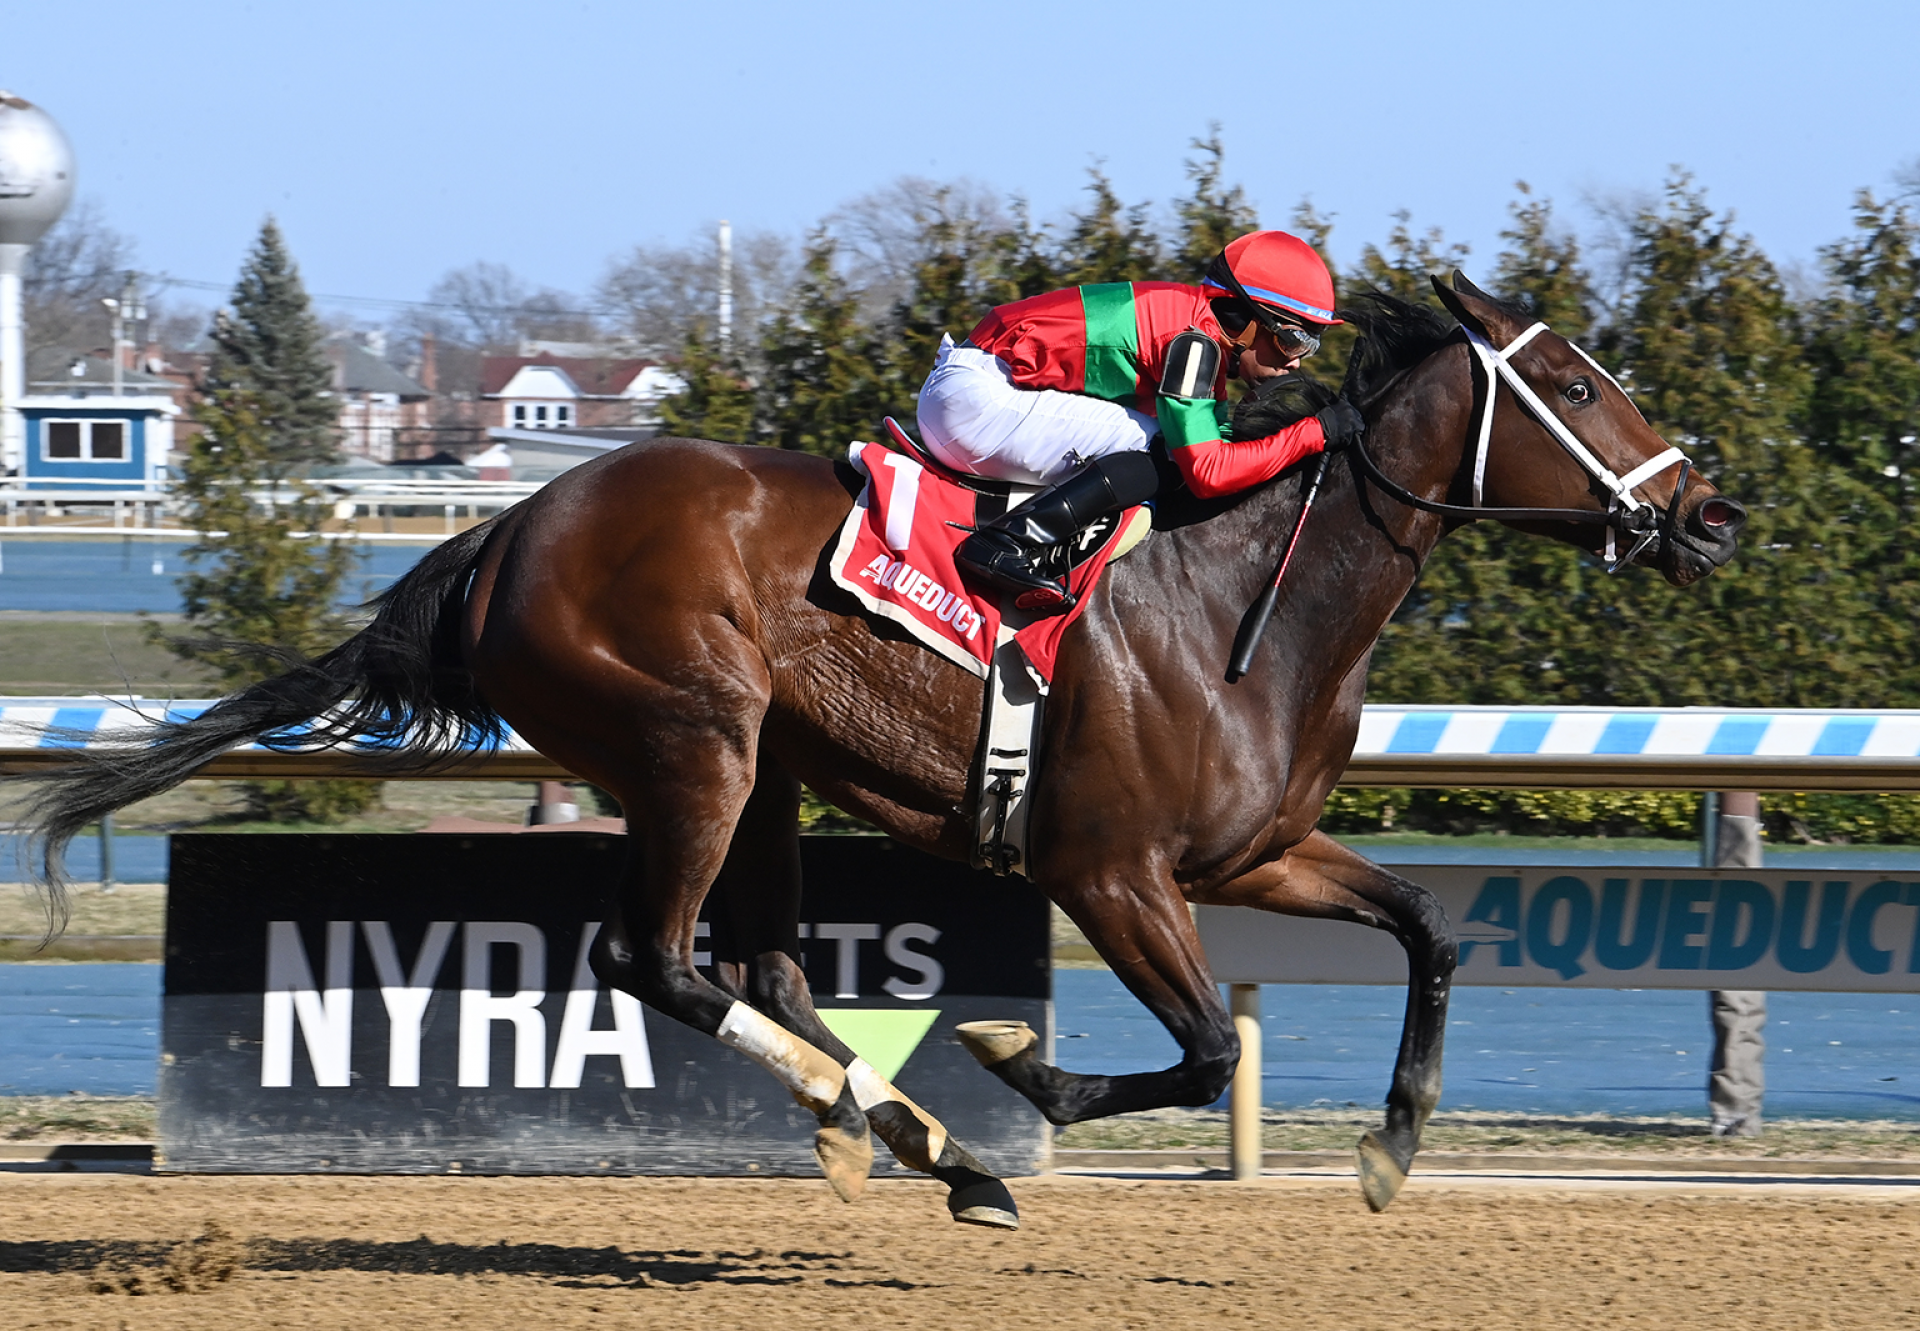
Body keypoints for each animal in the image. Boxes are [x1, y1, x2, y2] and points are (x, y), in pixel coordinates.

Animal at [22, 274, 1751, 1229]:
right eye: (1579, 381)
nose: (1713, 511)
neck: (1238, 595)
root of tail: (510, 524)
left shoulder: (1250, 851)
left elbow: (1432, 928)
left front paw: (1392, 1147)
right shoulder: (1109, 868)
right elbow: (1202, 1048)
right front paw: (1019, 1064)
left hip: (766, 769)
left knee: (770, 969)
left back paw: (925, 1143)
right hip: (696, 740)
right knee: (659, 960)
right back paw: (889, 1120)